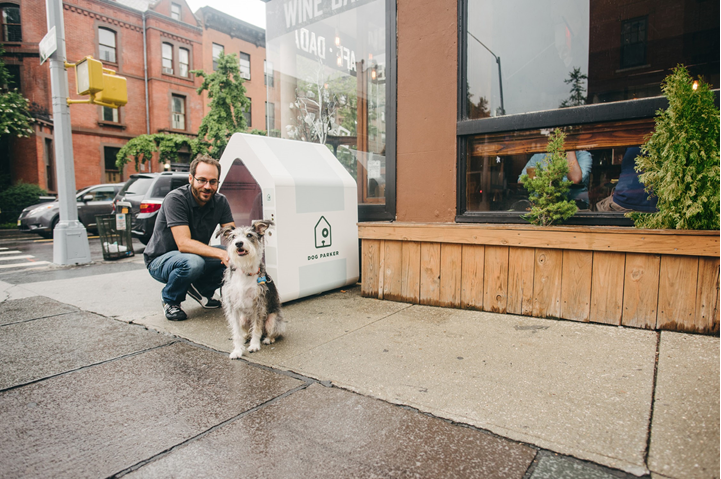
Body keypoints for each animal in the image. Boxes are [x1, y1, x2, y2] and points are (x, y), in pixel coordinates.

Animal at [217, 219, 284, 358]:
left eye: (249, 235)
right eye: (233, 236)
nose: (238, 243)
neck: (245, 270)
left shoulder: (259, 305)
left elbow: (257, 328)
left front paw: (254, 345)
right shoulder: (232, 307)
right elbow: (236, 332)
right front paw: (237, 350)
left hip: (272, 319)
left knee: (270, 332)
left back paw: (268, 339)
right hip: (243, 319)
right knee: (245, 332)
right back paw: (245, 338)